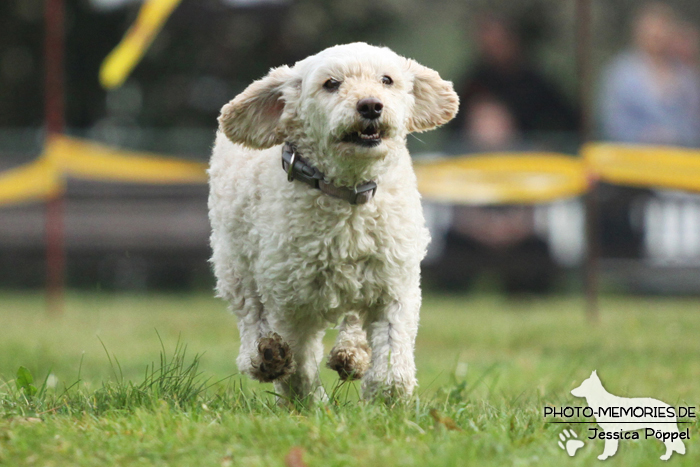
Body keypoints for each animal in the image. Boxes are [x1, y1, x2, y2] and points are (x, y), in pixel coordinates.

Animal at [208, 43, 460, 402]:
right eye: (331, 84)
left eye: (386, 80)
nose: (370, 105)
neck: (347, 194)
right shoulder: (291, 299)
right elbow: (300, 359)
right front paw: (305, 399)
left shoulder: (394, 280)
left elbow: (393, 337)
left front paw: (386, 391)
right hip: (234, 262)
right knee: (250, 312)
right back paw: (264, 356)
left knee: (353, 316)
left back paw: (351, 353)